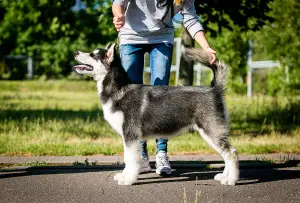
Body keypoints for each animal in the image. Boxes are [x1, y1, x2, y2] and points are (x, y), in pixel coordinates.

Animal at [74, 43, 239, 186]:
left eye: (93, 55)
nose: (76, 52)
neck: (119, 90)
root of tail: (214, 89)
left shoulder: (131, 135)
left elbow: (131, 159)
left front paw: (128, 179)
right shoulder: (128, 137)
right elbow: (127, 158)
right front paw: (124, 175)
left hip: (211, 130)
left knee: (231, 153)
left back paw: (231, 180)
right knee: (226, 154)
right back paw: (224, 176)